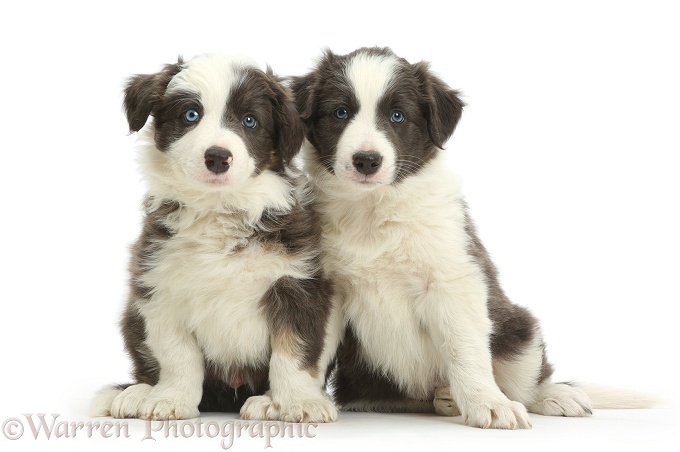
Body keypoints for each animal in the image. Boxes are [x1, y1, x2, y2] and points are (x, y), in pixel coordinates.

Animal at [90, 53, 342, 424]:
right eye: (190, 115)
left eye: (250, 121)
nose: (218, 157)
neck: (219, 209)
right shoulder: (160, 286)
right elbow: (177, 355)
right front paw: (171, 399)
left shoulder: (299, 284)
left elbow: (294, 351)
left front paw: (299, 402)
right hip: (132, 317)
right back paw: (136, 393)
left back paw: (268, 402)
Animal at [290, 46, 652, 430]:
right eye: (340, 112)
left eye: (398, 116)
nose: (367, 161)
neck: (374, 210)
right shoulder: (328, 287)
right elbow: (311, 346)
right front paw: (299, 398)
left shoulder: (454, 280)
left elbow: (465, 348)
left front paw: (488, 403)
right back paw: (447, 398)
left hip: (519, 330)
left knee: (527, 381)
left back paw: (553, 395)